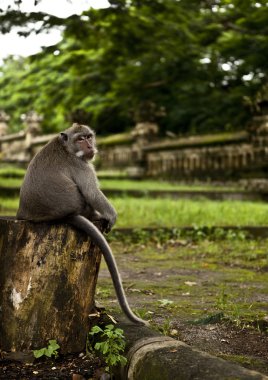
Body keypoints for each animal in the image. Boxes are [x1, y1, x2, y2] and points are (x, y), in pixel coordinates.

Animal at [16, 123, 147, 326]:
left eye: (88, 136)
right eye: (80, 139)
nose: (89, 146)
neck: (67, 147)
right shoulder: (81, 165)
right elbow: (92, 192)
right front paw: (111, 216)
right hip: (80, 206)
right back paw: (97, 216)